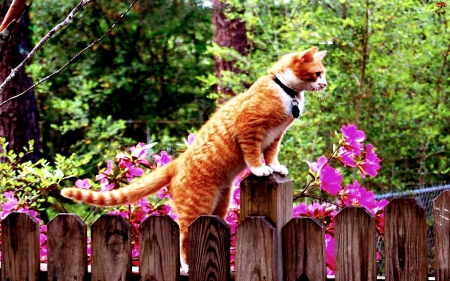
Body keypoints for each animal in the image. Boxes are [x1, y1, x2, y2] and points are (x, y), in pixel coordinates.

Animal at [59, 45, 326, 262]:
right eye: (318, 73)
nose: (324, 84)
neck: (286, 92)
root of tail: (177, 162)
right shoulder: (249, 132)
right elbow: (253, 155)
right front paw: (260, 170)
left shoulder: (274, 138)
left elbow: (271, 155)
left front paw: (276, 167)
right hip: (196, 207)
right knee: (184, 236)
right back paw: (187, 266)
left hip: (221, 204)